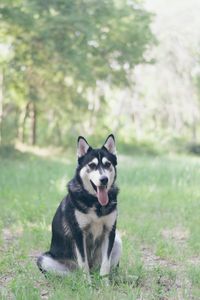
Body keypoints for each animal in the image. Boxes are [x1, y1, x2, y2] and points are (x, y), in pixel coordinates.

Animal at [37, 134, 122, 278]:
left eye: (107, 164)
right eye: (92, 165)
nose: (104, 179)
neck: (95, 202)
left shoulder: (109, 231)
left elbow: (105, 264)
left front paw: (105, 282)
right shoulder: (78, 233)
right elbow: (83, 262)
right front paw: (87, 282)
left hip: (117, 241)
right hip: (44, 259)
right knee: (74, 272)